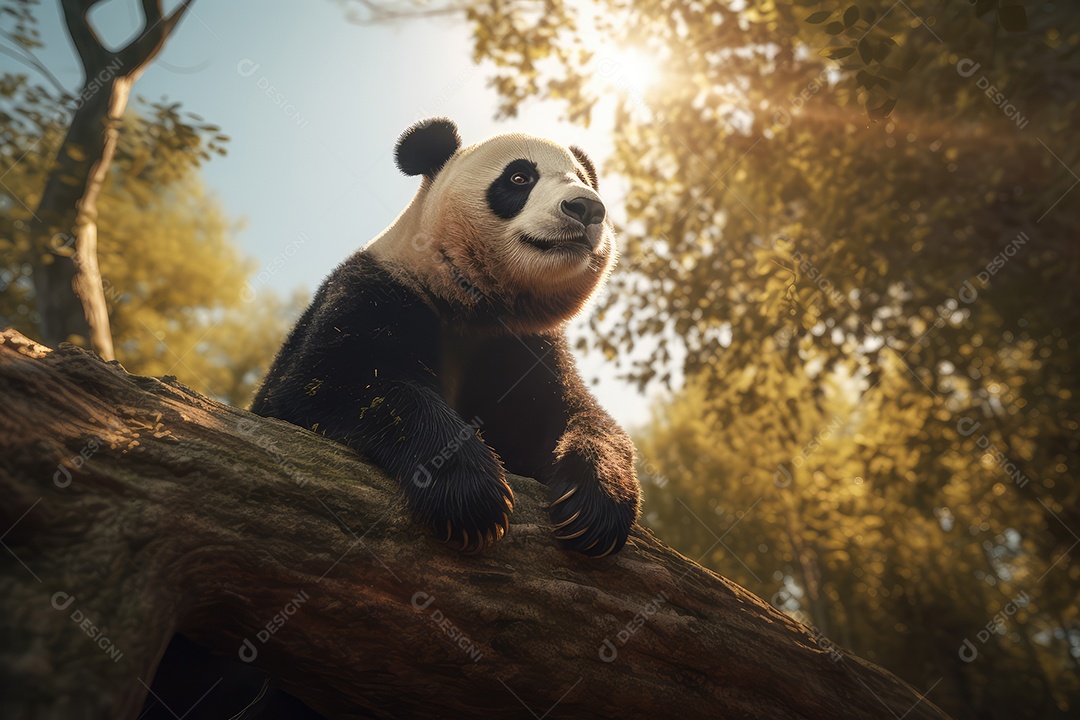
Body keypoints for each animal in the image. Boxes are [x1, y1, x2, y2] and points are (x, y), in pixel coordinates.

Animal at [251, 118, 641, 558]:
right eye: (520, 177)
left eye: (582, 179)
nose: (588, 206)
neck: (472, 306)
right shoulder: (375, 291)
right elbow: (330, 386)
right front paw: (471, 496)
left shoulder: (521, 346)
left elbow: (580, 415)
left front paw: (593, 508)